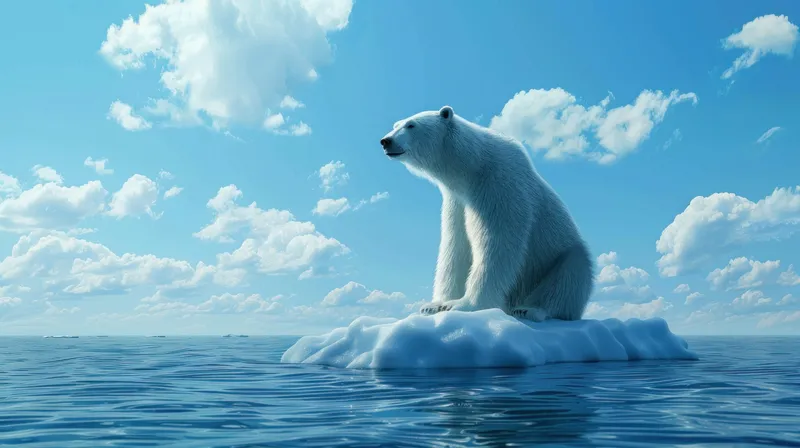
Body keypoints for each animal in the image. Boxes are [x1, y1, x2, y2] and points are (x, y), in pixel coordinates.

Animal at [379, 105, 594, 321]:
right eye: (396, 125)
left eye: (411, 125)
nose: (386, 141)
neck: (473, 167)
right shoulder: (457, 201)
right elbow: (455, 246)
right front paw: (434, 305)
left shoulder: (500, 186)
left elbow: (497, 243)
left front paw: (464, 305)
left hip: (559, 258)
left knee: (569, 277)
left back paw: (530, 309)